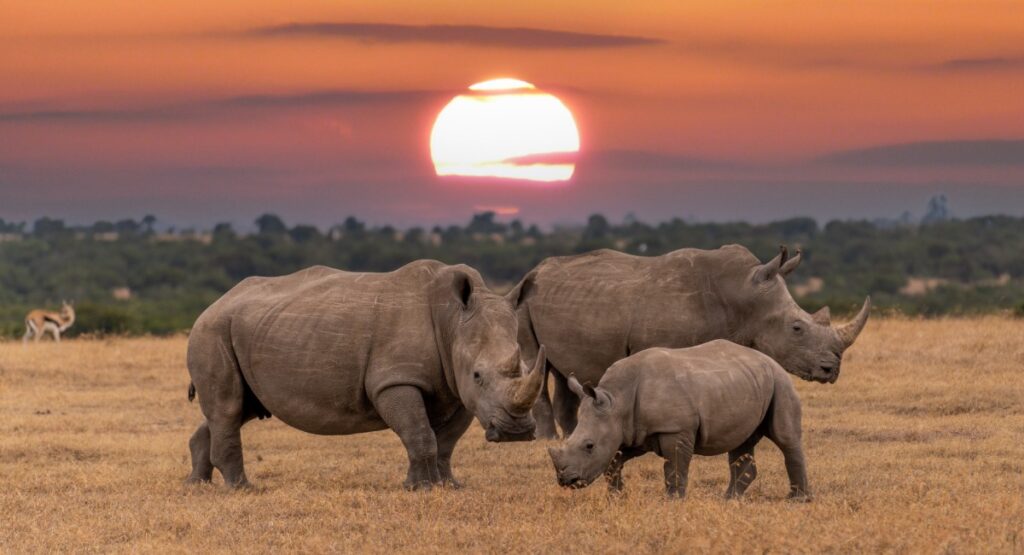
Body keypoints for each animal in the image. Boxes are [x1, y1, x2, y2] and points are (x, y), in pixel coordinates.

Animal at [185, 261, 546, 490]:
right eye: (478, 375)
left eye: (526, 367)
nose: (516, 432)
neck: (452, 322)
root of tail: (215, 303)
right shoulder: (396, 380)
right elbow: (419, 433)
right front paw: (420, 489)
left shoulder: (456, 388)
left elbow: (446, 442)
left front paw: (448, 486)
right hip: (212, 330)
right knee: (229, 407)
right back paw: (242, 488)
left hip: (246, 329)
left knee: (238, 409)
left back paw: (197, 484)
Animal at [508, 244, 870, 438]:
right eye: (796, 328)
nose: (831, 370)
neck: (743, 297)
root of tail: (533, 271)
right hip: (523, 301)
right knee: (537, 362)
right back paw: (545, 439)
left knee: (562, 368)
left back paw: (571, 434)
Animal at [548, 340, 810, 500]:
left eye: (589, 446)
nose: (566, 480)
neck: (617, 400)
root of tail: (770, 359)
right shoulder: (631, 431)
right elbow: (613, 463)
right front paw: (617, 497)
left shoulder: (675, 429)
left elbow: (674, 467)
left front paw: (672, 501)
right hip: (747, 382)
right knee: (741, 442)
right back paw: (729, 500)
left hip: (780, 381)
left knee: (786, 438)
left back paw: (798, 500)